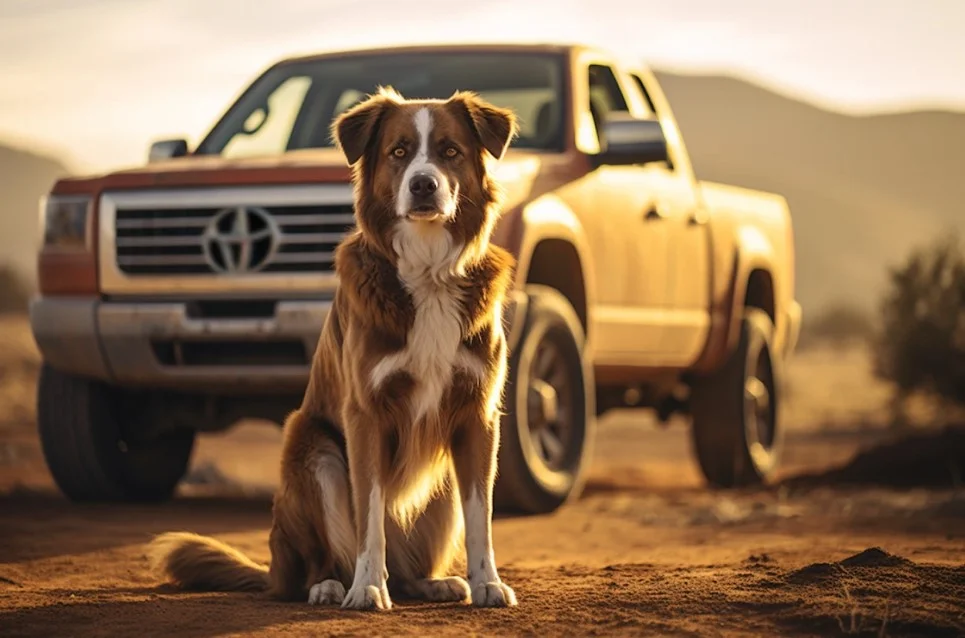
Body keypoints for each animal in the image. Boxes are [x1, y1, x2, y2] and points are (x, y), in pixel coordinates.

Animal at [153, 90, 520, 616]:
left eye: (449, 151)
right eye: (398, 151)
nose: (424, 186)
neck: (428, 274)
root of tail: (273, 569)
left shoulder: (477, 414)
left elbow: (481, 515)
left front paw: (488, 582)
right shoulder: (364, 414)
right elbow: (369, 515)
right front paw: (366, 588)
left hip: (439, 487)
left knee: (409, 570)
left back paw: (435, 583)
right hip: (313, 453)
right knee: (318, 560)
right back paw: (328, 586)